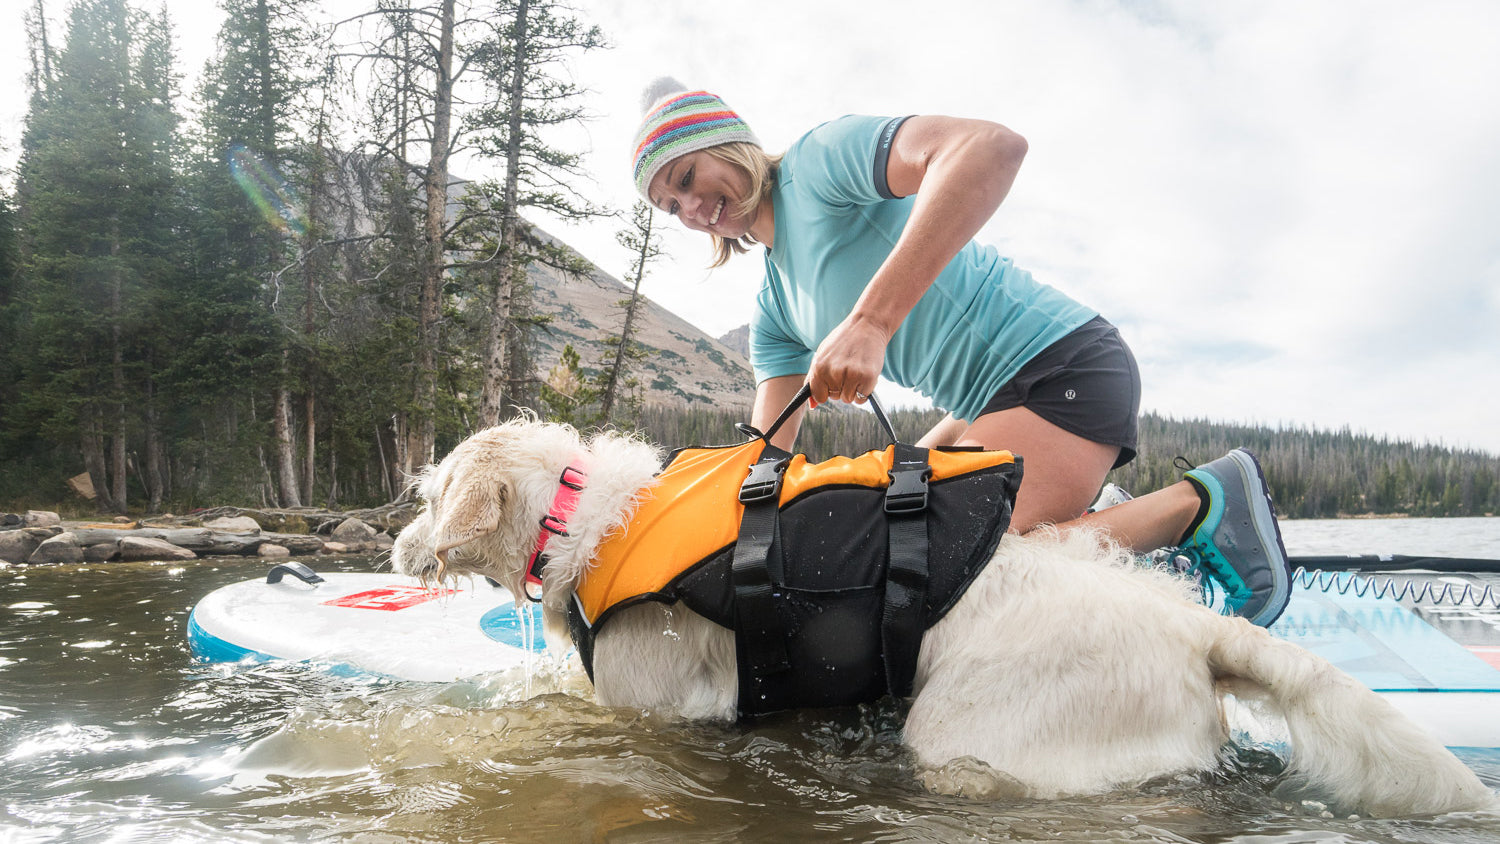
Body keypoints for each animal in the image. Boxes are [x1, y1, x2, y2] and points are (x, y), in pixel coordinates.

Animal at [393, 416, 1494, 821]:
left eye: (429, 492)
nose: (395, 548)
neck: (590, 517)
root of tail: (1196, 628)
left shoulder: (656, 711)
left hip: (970, 734)